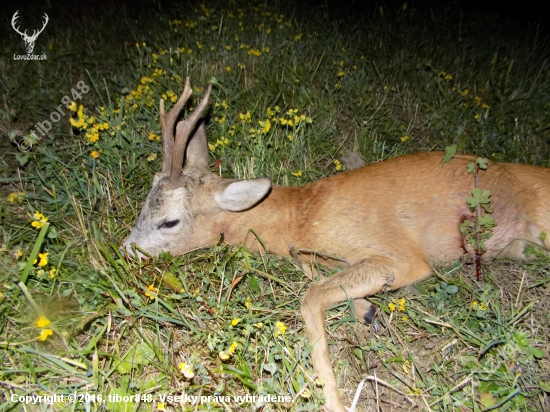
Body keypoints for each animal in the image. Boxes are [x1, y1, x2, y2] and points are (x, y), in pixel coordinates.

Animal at [124, 78, 550, 412]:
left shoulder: (402, 255)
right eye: (144, 202)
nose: (126, 250)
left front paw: (334, 400)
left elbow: (311, 296)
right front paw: (367, 311)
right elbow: (314, 274)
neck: (299, 215)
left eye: (169, 220)